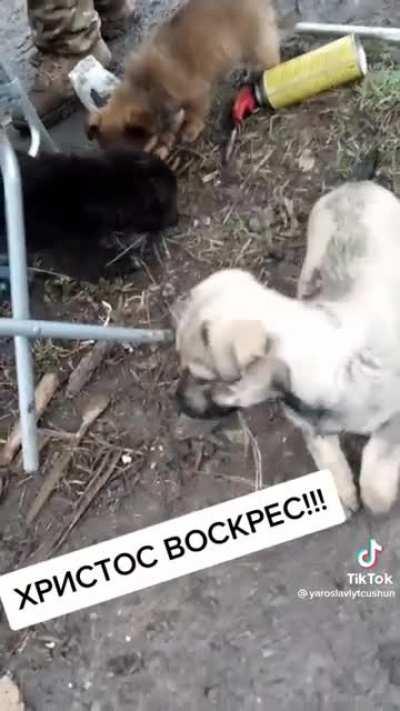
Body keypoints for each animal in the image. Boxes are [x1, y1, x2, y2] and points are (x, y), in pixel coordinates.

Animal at [86, 0, 282, 156]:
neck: (144, 88)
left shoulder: (195, 94)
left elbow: (193, 114)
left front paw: (190, 131)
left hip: (256, 39)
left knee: (270, 57)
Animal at [174, 181, 400, 516]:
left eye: (204, 378)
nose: (176, 400)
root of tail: (355, 184)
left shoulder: (394, 419)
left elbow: (377, 479)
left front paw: (375, 495)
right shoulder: (312, 429)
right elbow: (330, 463)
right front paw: (343, 496)